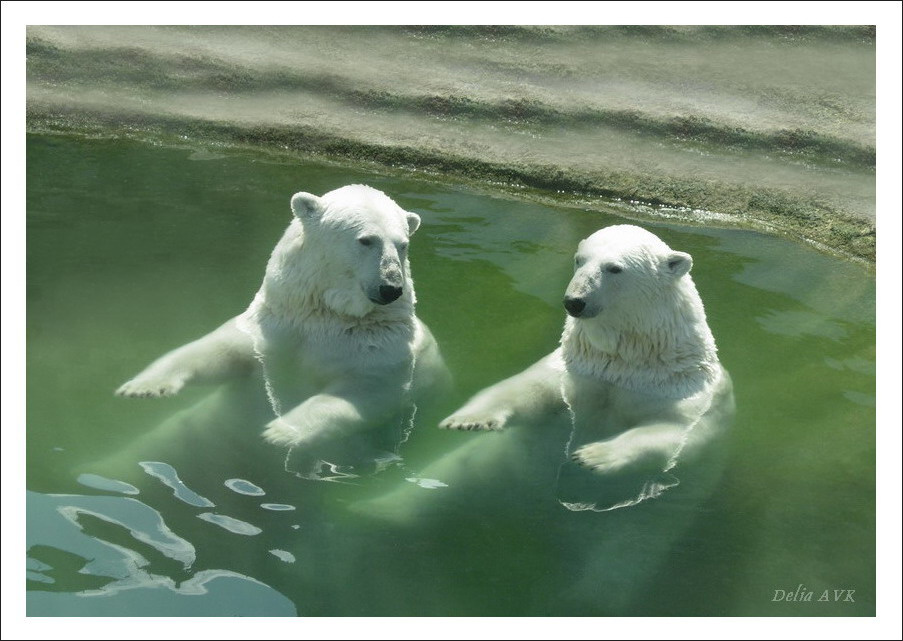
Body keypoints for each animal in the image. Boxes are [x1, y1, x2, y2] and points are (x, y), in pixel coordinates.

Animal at [114, 184, 448, 474]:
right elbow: (219, 349)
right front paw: (144, 386)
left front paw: (280, 431)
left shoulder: (381, 348)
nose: (391, 288)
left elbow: (366, 392)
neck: (330, 316)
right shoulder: (275, 327)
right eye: (366, 240)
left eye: (403, 245)